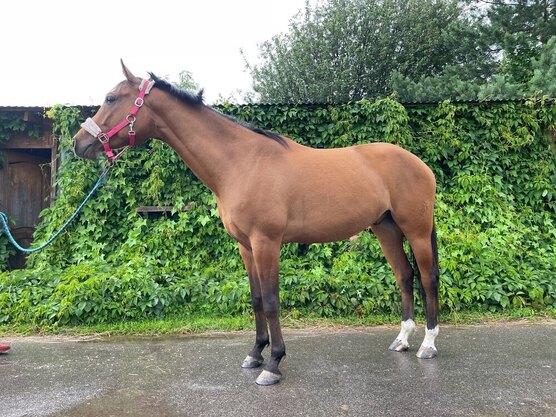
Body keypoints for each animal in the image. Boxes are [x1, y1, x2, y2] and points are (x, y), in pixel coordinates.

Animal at [73, 61, 440, 386]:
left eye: (111, 98)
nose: (79, 143)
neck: (241, 162)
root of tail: (420, 163)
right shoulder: (246, 246)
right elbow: (256, 299)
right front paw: (255, 354)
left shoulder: (267, 243)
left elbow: (272, 300)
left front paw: (274, 364)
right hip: (385, 228)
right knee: (404, 276)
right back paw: (402, 340)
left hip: (416, 230)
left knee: (427, 278)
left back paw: (428, 344)